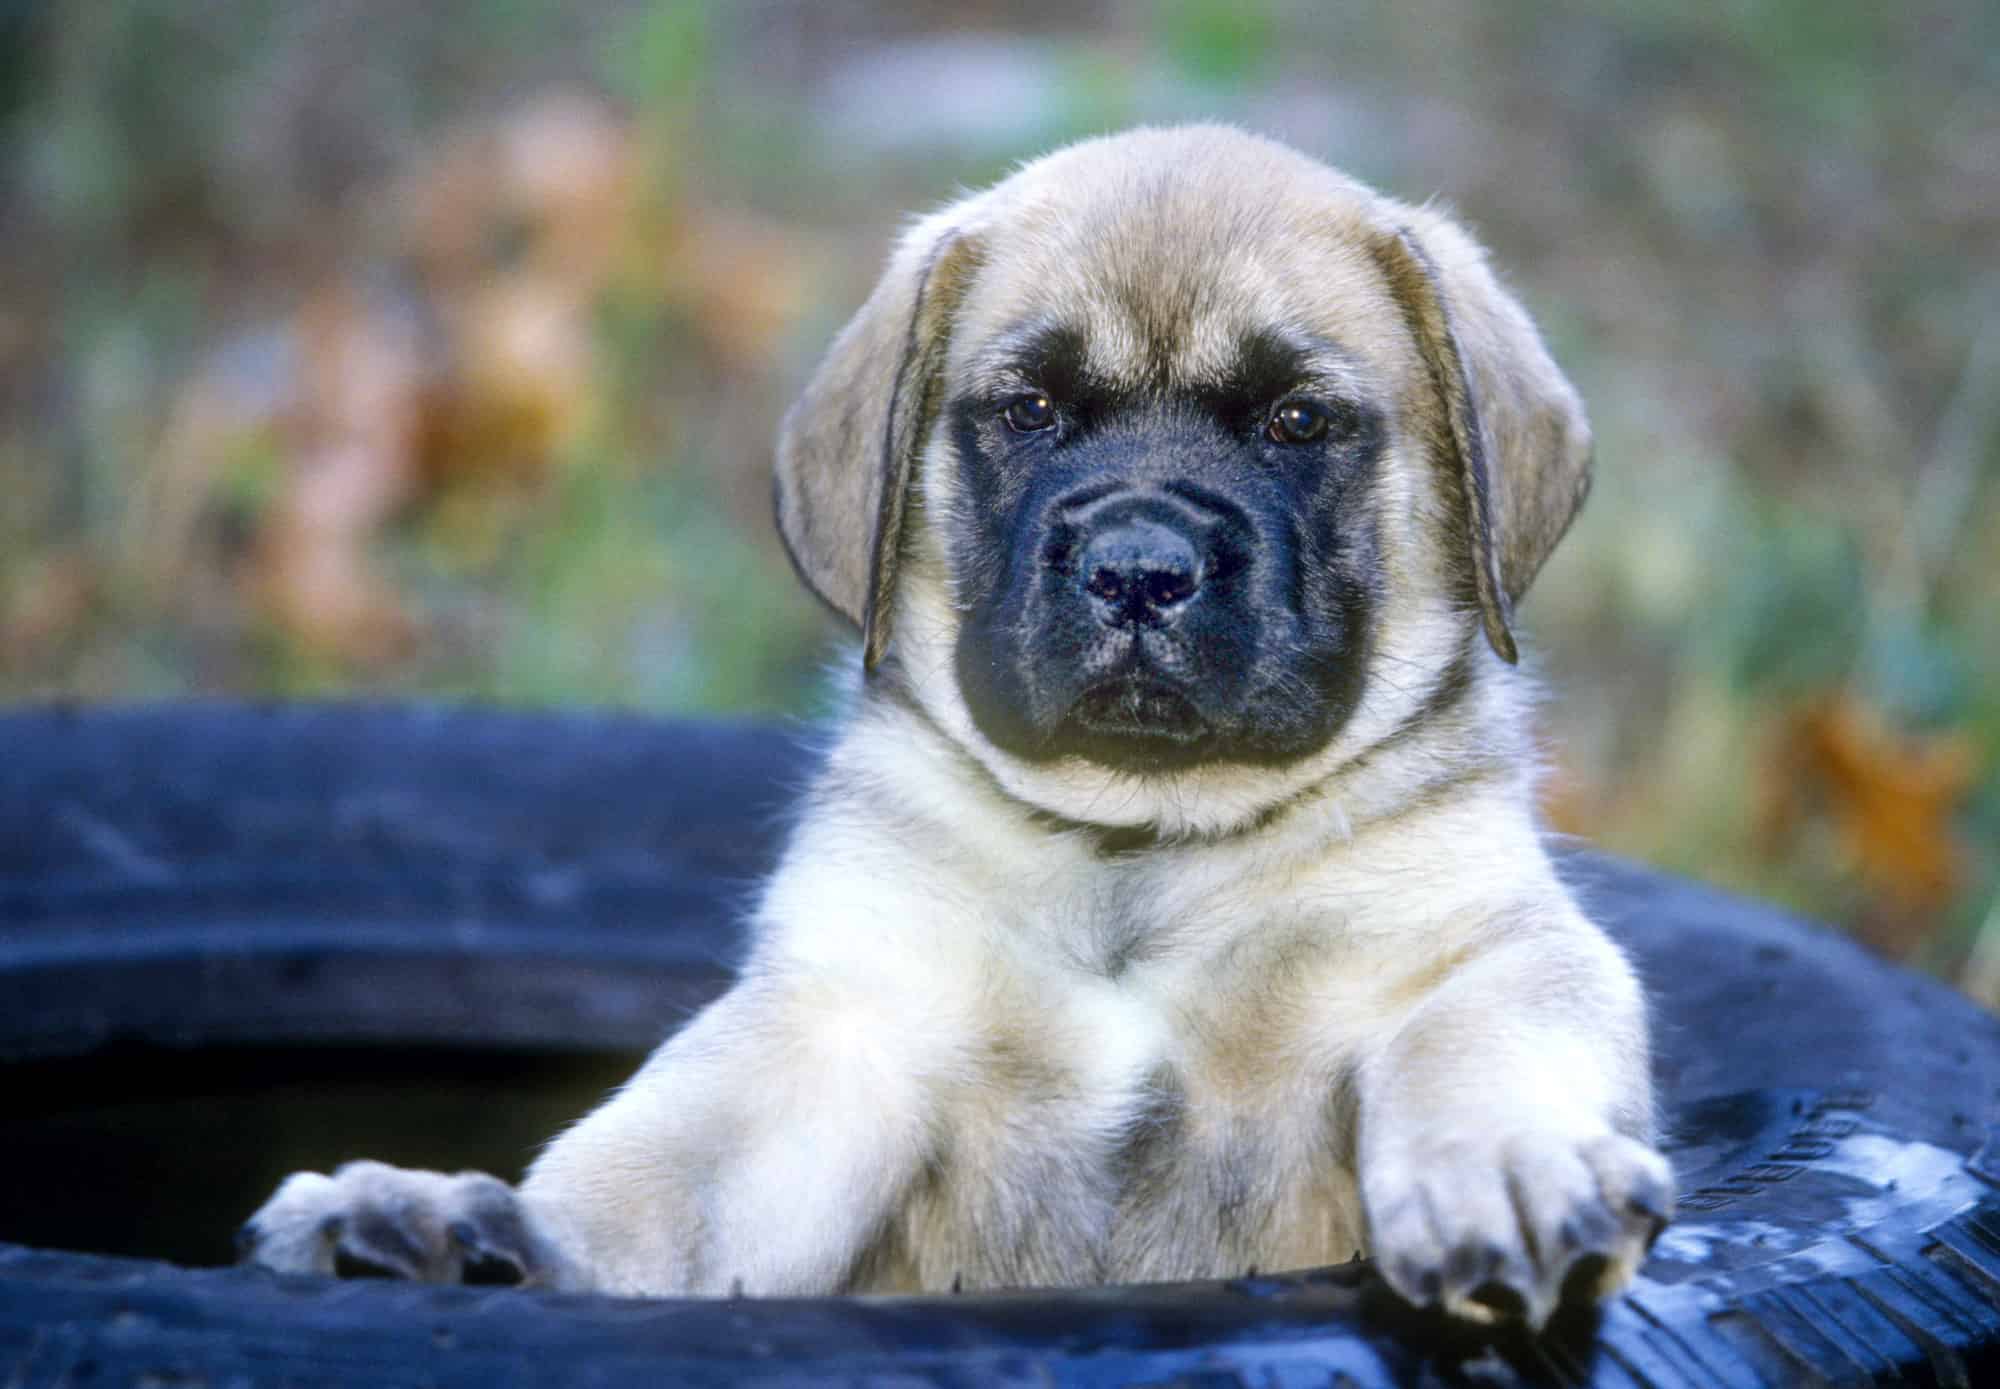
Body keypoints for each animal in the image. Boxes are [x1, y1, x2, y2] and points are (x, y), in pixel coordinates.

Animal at [238, 128, 1672, 1328]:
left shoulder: (1486, 954)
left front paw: (1504, 1171)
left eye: (1297, 422)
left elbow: (1473, 1052)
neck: (1140, 848)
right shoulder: (841, 1028)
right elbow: (652, 1171)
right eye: (1026, 411)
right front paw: (470, 1222)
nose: (1138, 569)